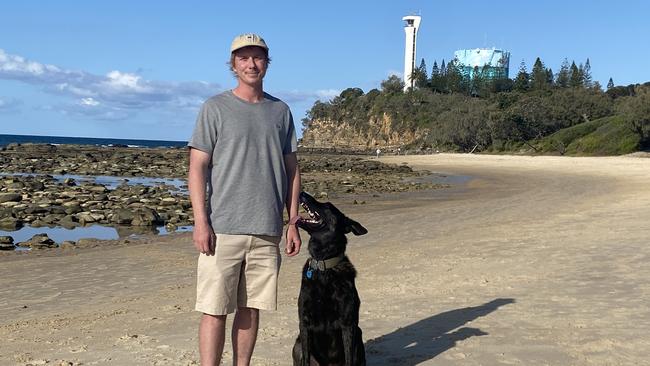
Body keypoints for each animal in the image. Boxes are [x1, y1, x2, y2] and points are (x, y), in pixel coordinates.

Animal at [292, 192, 368, 366]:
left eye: (327, 205)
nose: (302, 193)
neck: (324, 265)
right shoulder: (304, 323)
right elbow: (306, 359)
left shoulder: (348, 324)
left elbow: (349, 358)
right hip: (297, 344)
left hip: (359, 336)